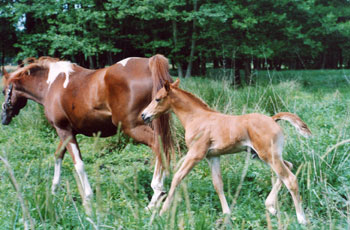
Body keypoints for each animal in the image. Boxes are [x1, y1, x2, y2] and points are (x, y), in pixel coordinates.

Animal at [1, 54, 172, 208]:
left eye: (4, 91)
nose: (4, 118)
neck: (51, 85)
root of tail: (149, 63)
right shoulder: (69, 132)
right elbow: (58, 155)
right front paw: (54, 190)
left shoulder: (63, 130)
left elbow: (78, 164)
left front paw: (87, 198)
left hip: (132, 127)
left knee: (158, 145)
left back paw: (156, 194)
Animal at [142, 79, 312, 225]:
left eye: (157, 99)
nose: (144, 115)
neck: (196, 118)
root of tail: (272, 119)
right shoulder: (213, 157)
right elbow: (218, 184)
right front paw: (227, 214)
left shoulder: (196, 154)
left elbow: (177, 177)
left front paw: (161, 212)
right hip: (263, 155)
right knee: (288, 167)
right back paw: (271, 207)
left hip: (268, 156)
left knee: (290, 179)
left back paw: (301, 219)